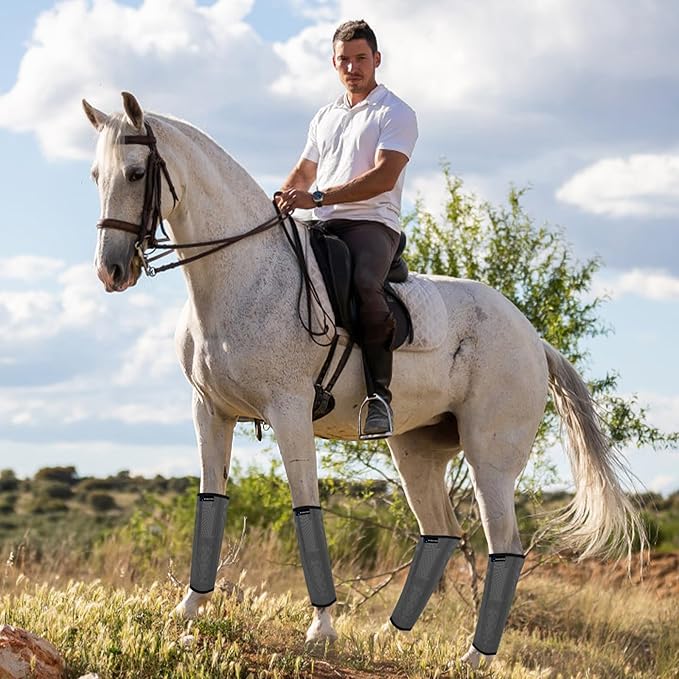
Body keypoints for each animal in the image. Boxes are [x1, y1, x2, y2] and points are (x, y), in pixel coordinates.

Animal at [82, 93, 644, 672]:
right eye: (96, 175)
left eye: (137, 172)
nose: (111, 271)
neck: (240, 275)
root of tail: (534, 341)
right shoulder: (210, 412)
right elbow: (209, 502)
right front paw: (189, 608)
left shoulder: (288, 411)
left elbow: (306, 510)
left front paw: (322, 628)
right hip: (416, 449)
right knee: (441, 532)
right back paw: (389, 636)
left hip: (490, 459)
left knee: (506, 548)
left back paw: (472, 657)